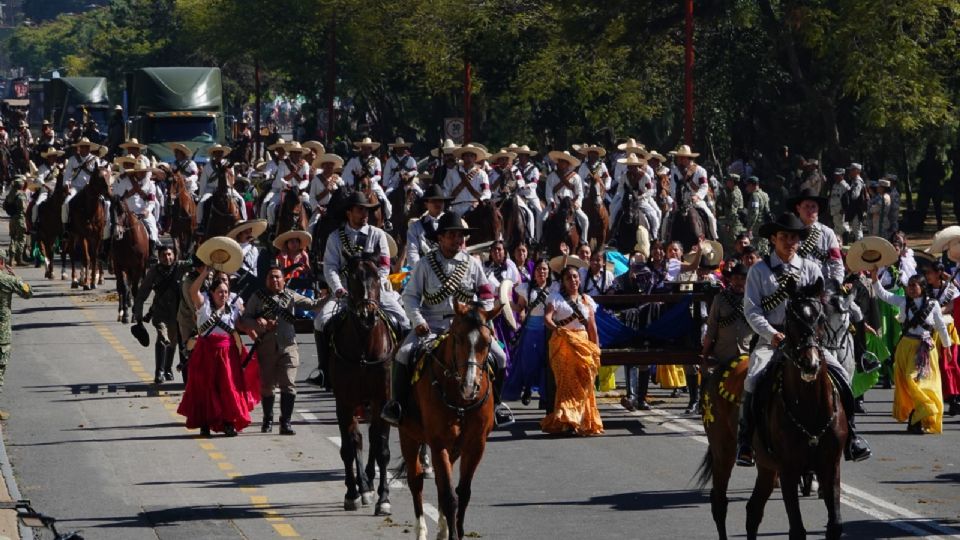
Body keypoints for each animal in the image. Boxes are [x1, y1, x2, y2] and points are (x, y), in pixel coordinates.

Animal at [326, 253, 394, 516]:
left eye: (376, 275)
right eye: (353, 276)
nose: (367, 315)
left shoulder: (383, 399)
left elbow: (382, 448)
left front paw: (384, 498)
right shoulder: (344, 401)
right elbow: (348, 447)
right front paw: (352, 493)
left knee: (373, 437)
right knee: (357, 439)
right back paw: (362, 486)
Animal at [400, 302, 498, 536]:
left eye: (487, 342)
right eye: (458, 338)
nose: (470, 386)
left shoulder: (475, 444)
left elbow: (462, 492)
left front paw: (456, 531)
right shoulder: (439, 443)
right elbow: (449, 496)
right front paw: (451, 533)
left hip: (454, 448)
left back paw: (442, 529)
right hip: (408, 435)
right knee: (415, 480)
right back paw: (421, 530)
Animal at [692, 278, 844, 540]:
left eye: (820, 318)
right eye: (791, 319)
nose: (810, 363)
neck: (810, 410)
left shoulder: (830, 467)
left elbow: (834, 525)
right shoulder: (788, 471)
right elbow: (797, 530)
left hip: (765, 467)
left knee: (753, 510)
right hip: (723, 453)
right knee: (719, 503)